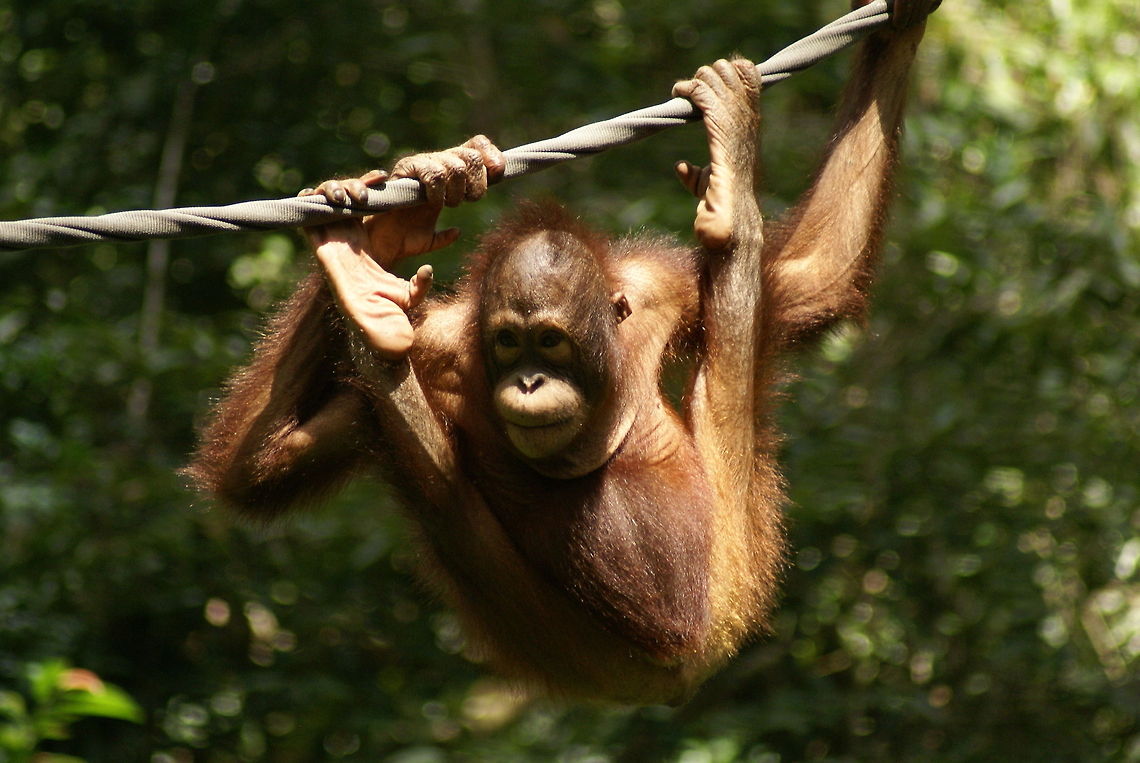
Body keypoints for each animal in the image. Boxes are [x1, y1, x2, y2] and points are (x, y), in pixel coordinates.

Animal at [185, 0, 936, 704]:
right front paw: (394, 219)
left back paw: (729, 205)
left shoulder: (655, 285)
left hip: (733, 573)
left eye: (549, 340)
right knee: (424, 469)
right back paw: (366, 300)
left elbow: (814, 277)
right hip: (598, 648)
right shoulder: (440, 347)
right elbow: (257, 470)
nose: (527, 382)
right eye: (508, 342)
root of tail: (688, 666)